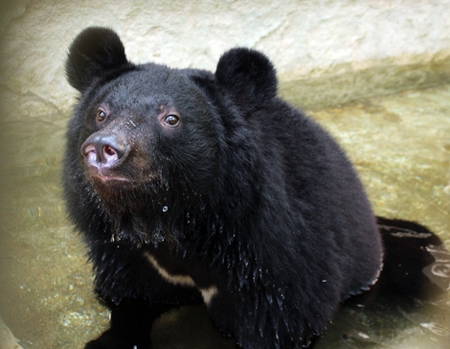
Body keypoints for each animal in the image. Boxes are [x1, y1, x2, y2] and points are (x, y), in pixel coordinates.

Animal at [62, 27, 446, 348]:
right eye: (100, 113)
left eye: (171, 118)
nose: (104, 148)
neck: (173, 222)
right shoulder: (125, 256)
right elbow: (130, 301)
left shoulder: (274, 258)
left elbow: (281, 324)